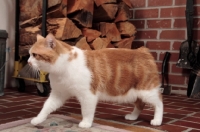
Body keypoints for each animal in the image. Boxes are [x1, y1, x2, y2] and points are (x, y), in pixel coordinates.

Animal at [27, 33, 162, 128]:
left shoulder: (88, 95)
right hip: (134, 93)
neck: (62, 68)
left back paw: (157, 120)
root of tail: (142, 50)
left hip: (146, 91)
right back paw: (133, 116)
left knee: (159, 103)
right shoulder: (58, 94)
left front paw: (86, 123)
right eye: (29, 54)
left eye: (34, 55)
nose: (28, 62)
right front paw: (38, 119)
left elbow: (86, 111)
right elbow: (46, 107)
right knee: (140, 104)